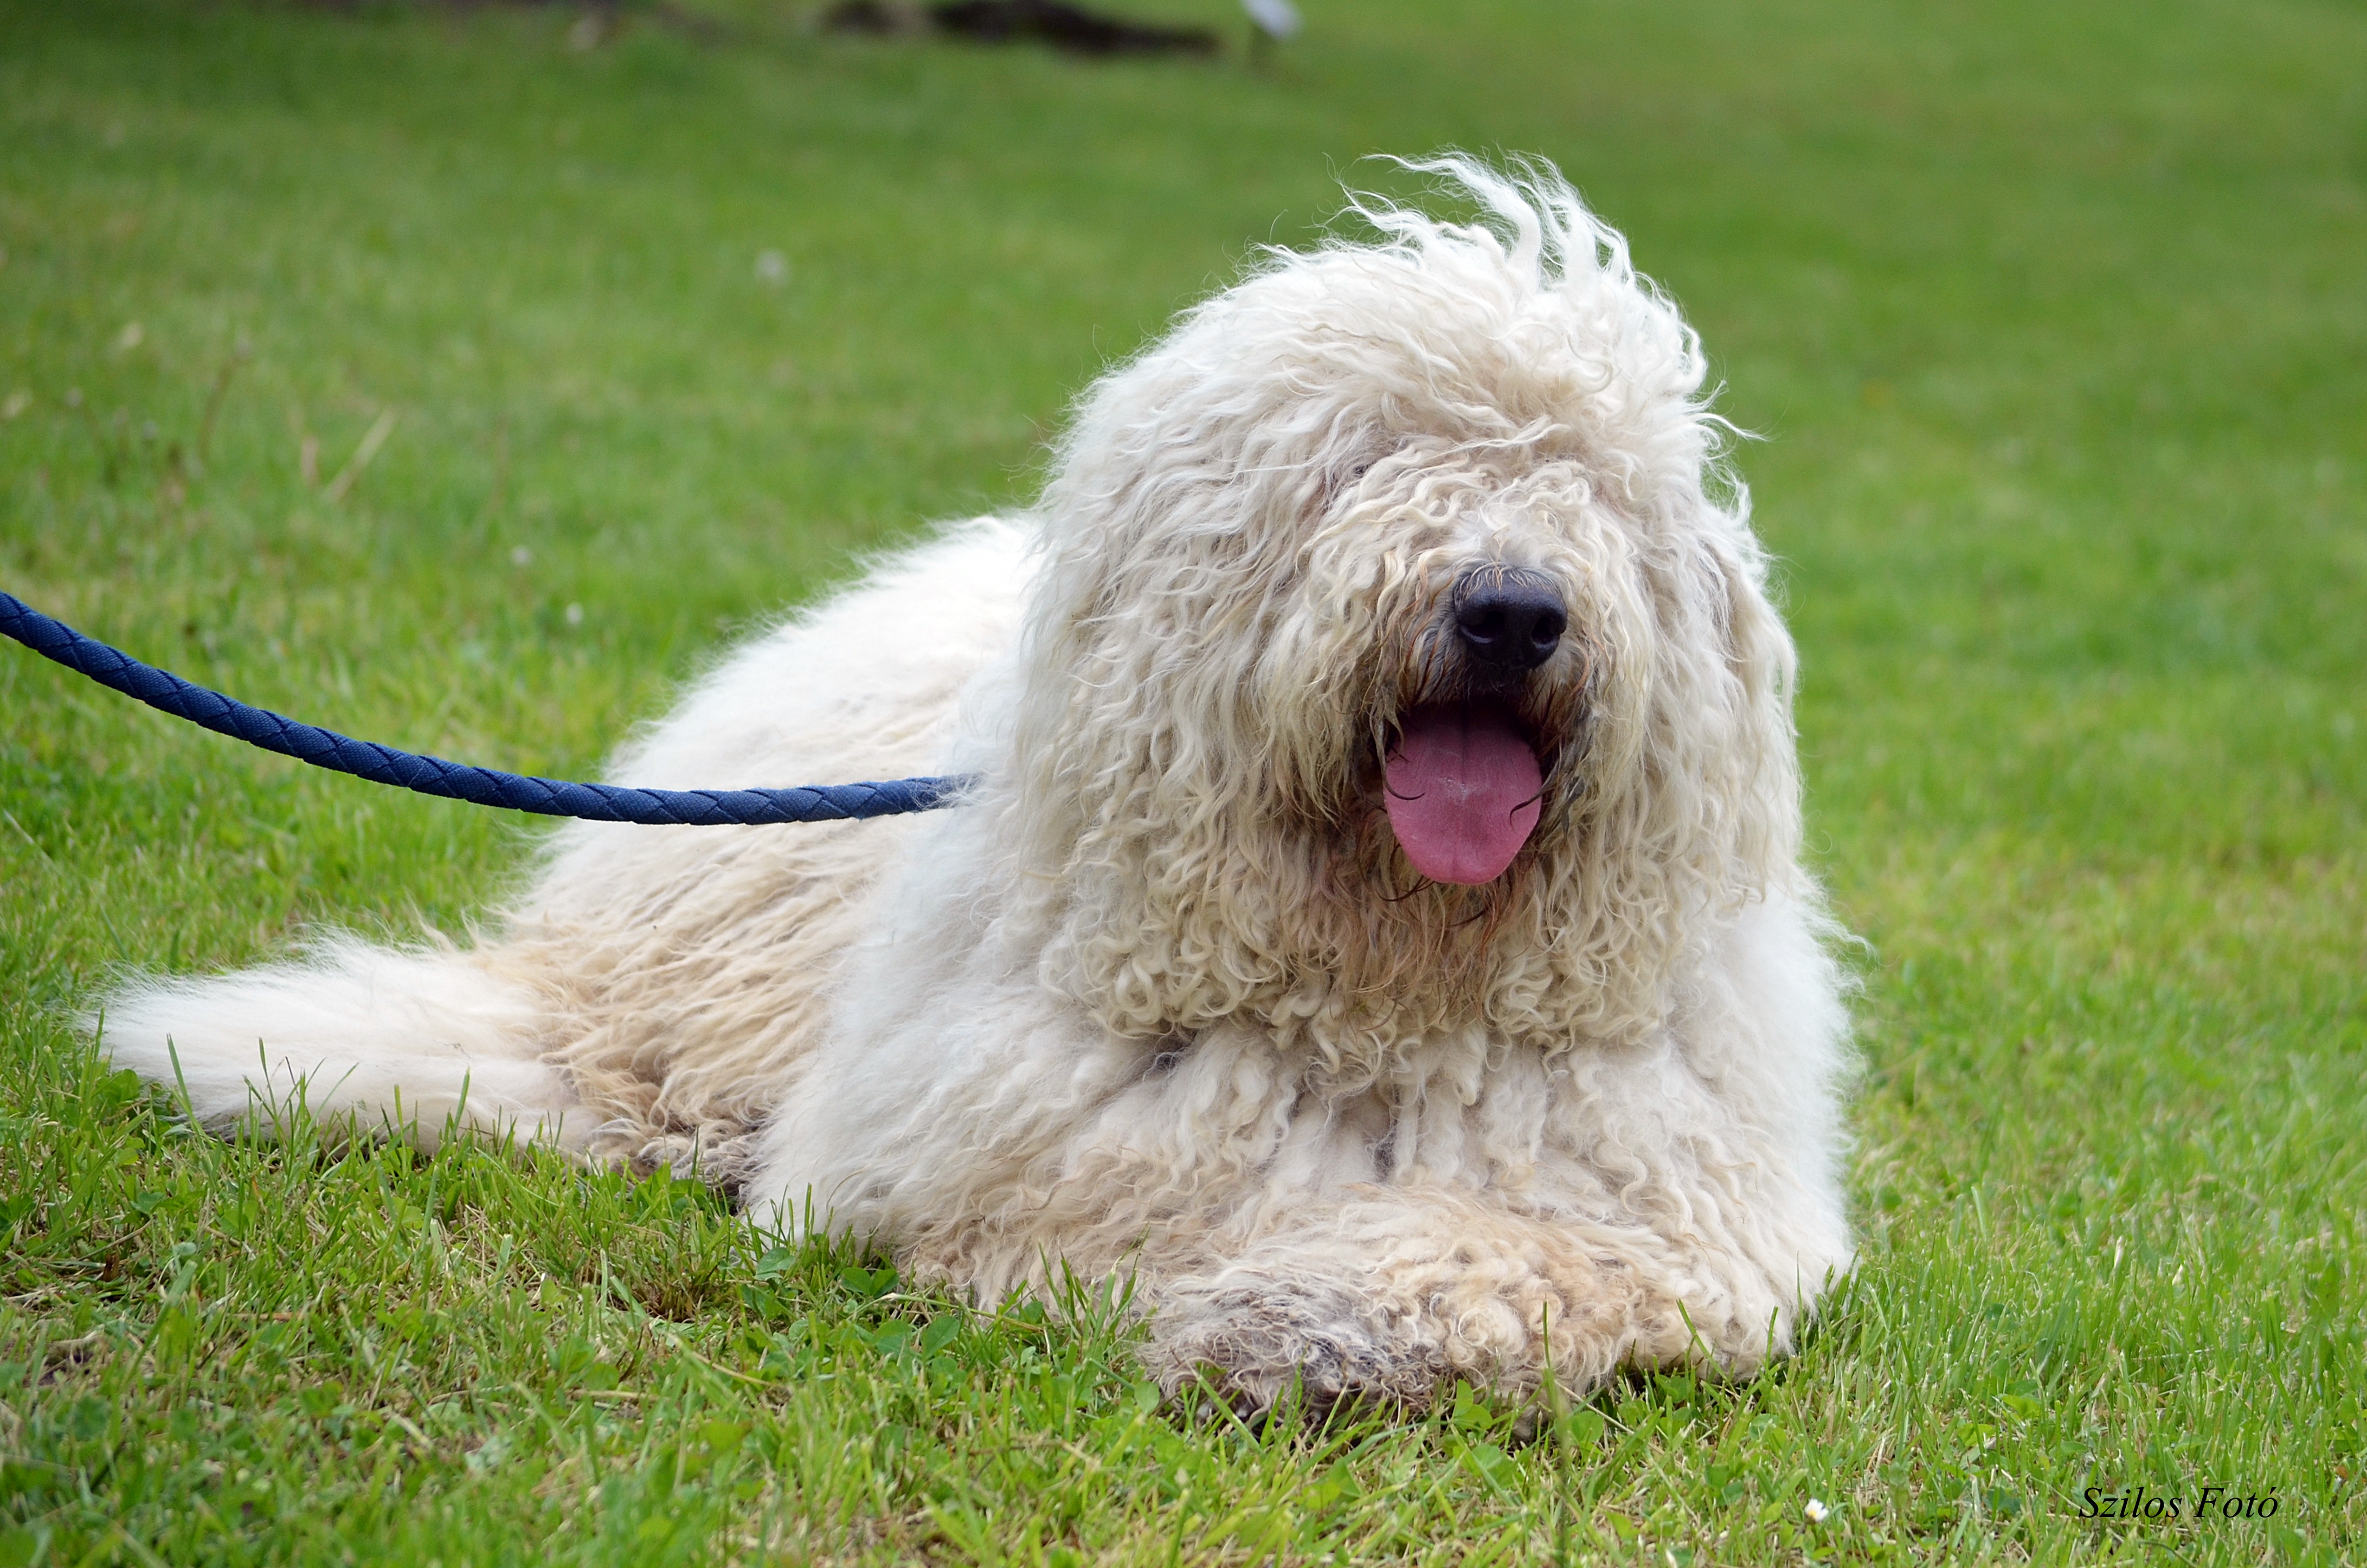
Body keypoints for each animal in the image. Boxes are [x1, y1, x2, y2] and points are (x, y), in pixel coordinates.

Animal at [106, 156, 1846, 1411]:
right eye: (1361, 462)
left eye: (1588, 487)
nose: (1508, 609)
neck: (1380, 990)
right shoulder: (986, 1166)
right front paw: (1265, 1314)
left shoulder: (1704, 1229)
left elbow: (1523, 1255)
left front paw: (1310, 1319)